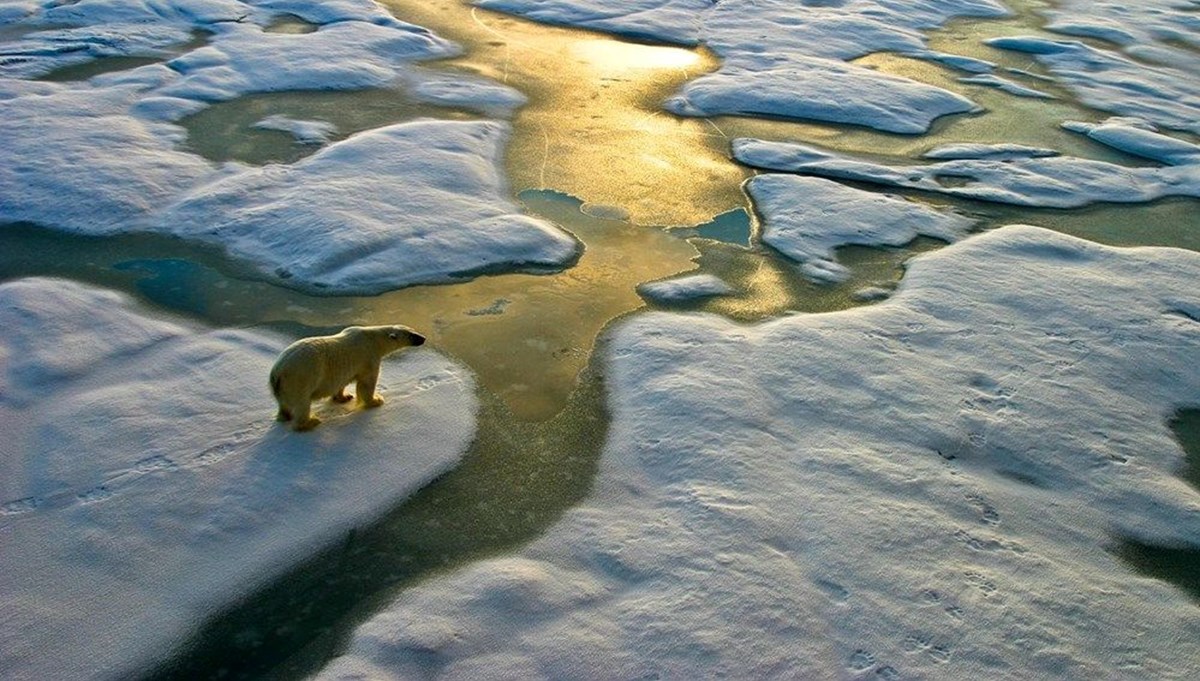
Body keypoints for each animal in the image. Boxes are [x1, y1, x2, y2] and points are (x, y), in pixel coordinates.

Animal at [271, 323, 427, 431]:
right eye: (412, 335)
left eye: (414, 330)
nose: (424, 338)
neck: (373, 339)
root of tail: (277, 372)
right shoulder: (368, 357)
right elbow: (367, 383)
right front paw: (376, 400)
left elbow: (342, 383)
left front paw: (344, 397)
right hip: (301, 378)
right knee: (302, 403)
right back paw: (311, 422)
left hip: (283, 387)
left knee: (284, 405)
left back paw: (285, 416)